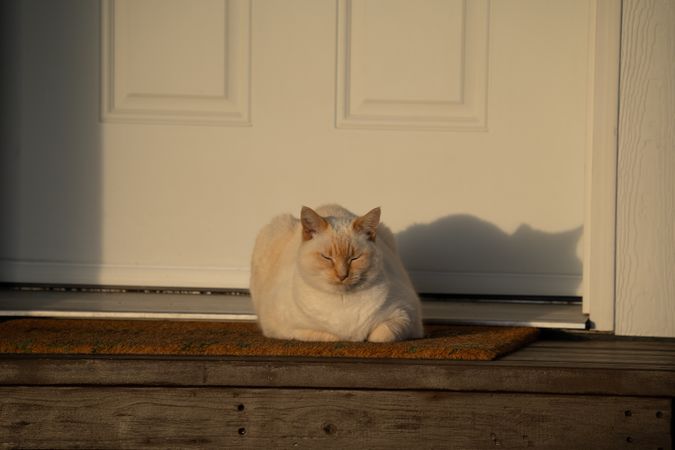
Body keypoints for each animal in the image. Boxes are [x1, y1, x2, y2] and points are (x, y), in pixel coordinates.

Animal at [251, 204, 422, 342]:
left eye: (354, 258)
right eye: (327, 258)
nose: (342, 275)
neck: (343, 303)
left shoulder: (406, 315)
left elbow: (381, 335)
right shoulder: (282, 327)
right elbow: (330, 336)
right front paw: (347, 338)